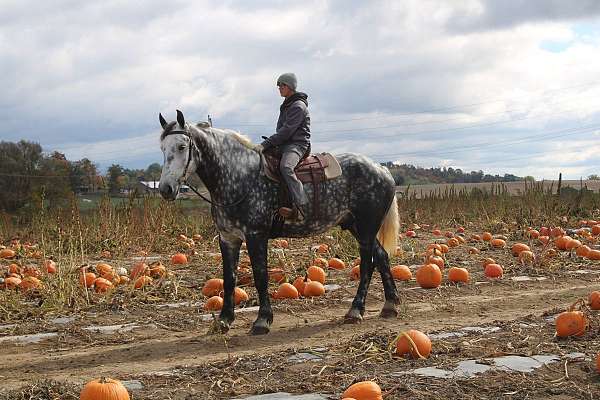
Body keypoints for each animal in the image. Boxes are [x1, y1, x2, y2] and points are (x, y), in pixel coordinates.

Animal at [159, 109, 400, 334]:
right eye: (162, 148)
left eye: (181, 146)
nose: (165, 189)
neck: (239, 176)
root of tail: (382, 169)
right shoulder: (228, 238)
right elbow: (229, 279)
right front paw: (224, 320)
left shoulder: (256, 236)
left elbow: (260, 276)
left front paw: (262, 320)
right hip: (357, 227)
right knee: (381, 256)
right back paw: (390, 305)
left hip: (366, 228)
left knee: (367, 264)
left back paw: (355, 310)